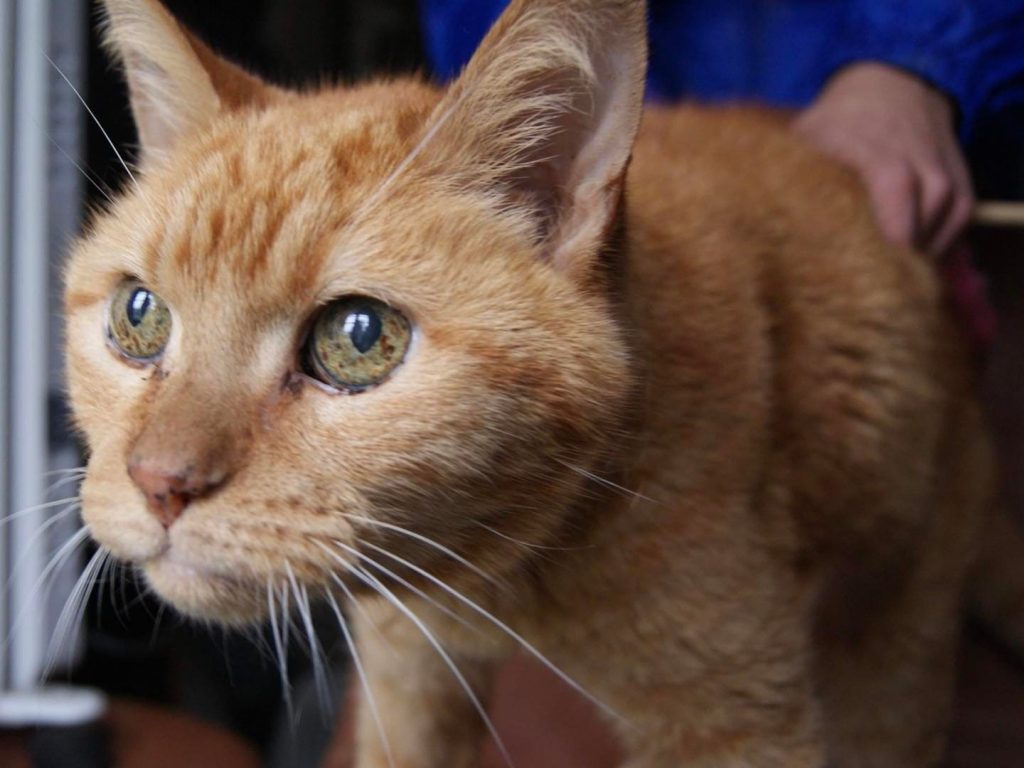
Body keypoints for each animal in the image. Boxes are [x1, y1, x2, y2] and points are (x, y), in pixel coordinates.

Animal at [68, 1, 1019, 768]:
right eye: (139, 315)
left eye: (359, 338)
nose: (159, 482)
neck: (498, 571)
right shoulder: (408, 675)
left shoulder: (737, 717)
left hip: (903, 614)